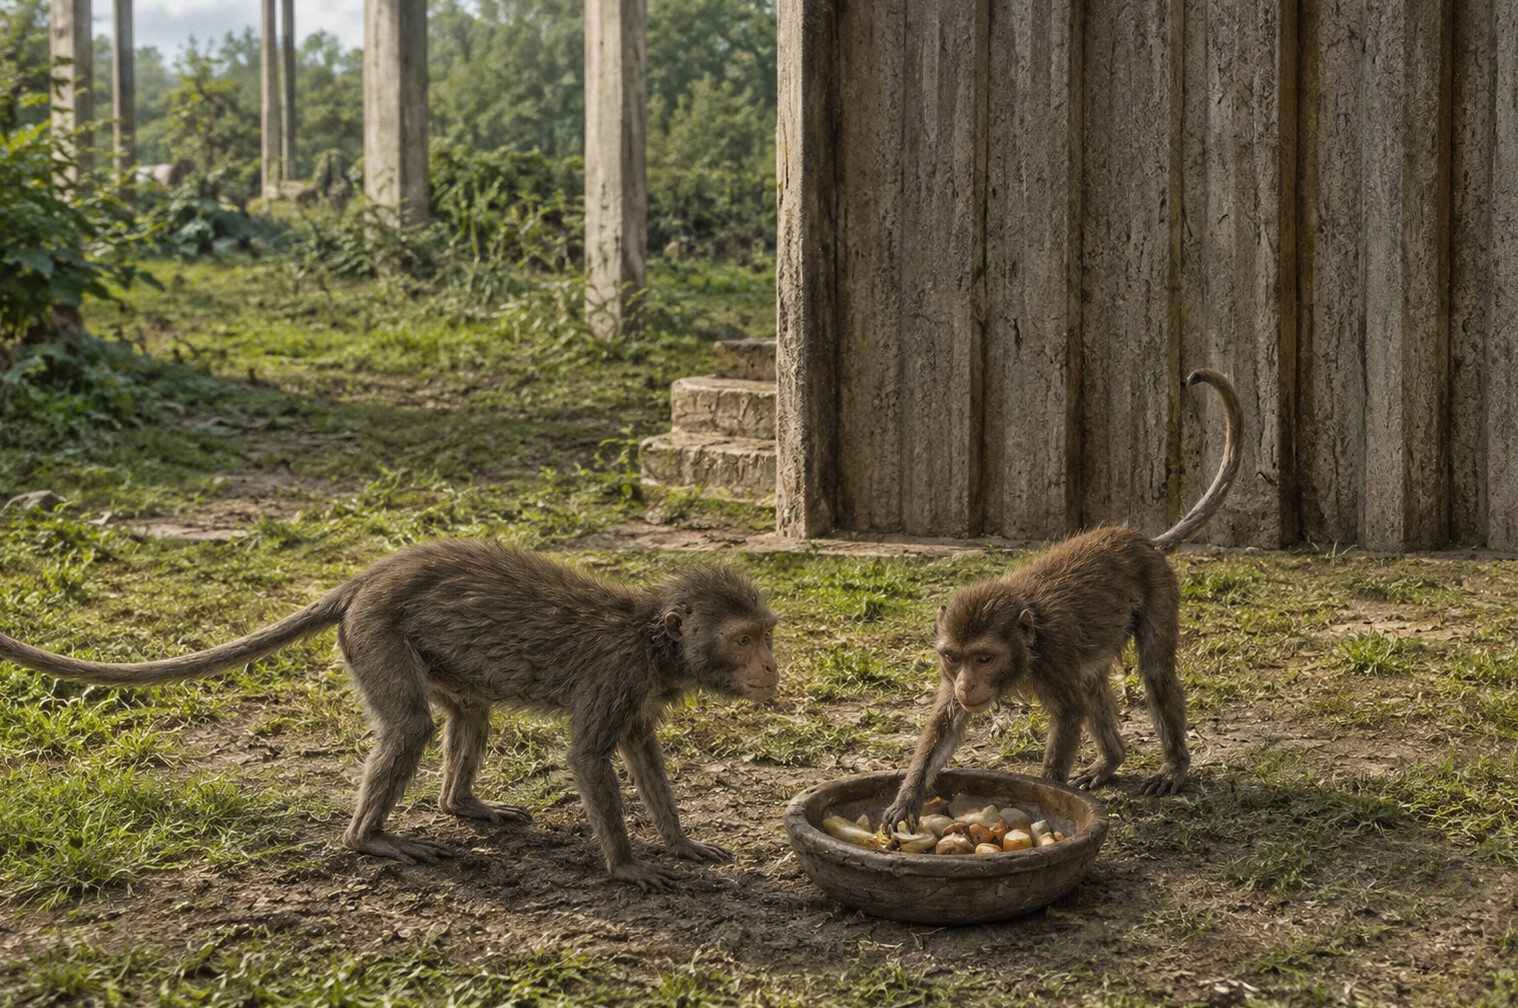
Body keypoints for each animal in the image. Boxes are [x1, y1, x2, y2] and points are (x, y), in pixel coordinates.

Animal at [0, 541, 779, 892]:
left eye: (765, 636)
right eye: (744, 641)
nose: (774, 669)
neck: (652, 640)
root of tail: (369, 578)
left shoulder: (641, 692)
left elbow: (643, 752)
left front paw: (678, 841)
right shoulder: (618, 676)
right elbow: (590, 757)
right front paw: (626, 864)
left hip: (425, 651)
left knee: (471, 713)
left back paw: (461, 804)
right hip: (375, 632)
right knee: (410, 727)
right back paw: (369, 840)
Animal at [882, 368, 1242, 828]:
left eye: (984, 658)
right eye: (952, 658)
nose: (966, 683)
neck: (1028, 639)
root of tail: (1140, 541)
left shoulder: (1053, 656)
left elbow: (1070, 713)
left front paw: (1048, 796)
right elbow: (945, 723)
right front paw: (907, 798)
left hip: (1160, 587)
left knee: (1154, 671)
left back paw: (1173, 767)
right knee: (1092, 684)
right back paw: (1112, 760)